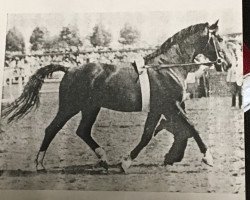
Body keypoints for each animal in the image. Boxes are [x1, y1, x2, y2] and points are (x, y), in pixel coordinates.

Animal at [2, 20, 229, 173]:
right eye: (220, 39)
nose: (226, 64)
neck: (168, 67)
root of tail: (69, 69)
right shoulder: (172, 104)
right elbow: (192, 126)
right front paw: (208, 157)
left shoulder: (159, 108)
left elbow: (149, 134)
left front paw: (126, 162)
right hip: (70, 107)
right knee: (52, 129)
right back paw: (40, 164)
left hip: (90, 108)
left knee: (82, 131)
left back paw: (103, 159)